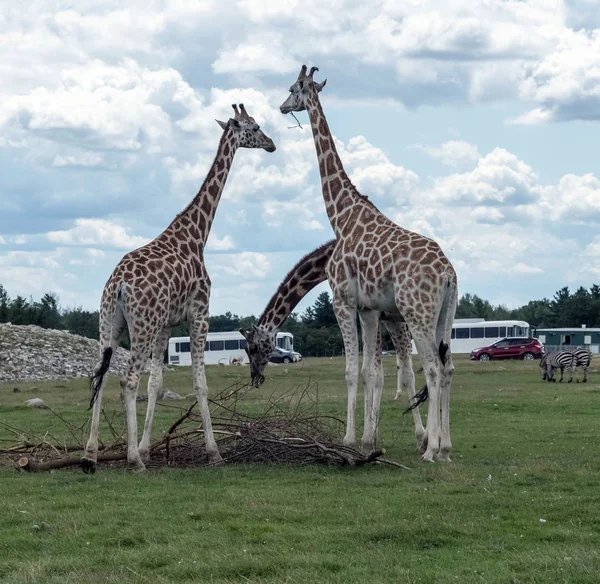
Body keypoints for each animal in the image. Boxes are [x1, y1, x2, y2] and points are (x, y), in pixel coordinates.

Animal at [81, 102, 276, 472]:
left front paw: (147, 448)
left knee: (99, 376)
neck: (197, 235)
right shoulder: (200, 314)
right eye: (255, 127)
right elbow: (199, 384)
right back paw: (131, 461)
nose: (272, 144)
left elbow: (157, 383)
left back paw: (89, 456)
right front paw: (213, 453)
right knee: (127, 381)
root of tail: (118, 285)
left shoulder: (166, 326)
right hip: (141, 326)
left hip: (108, 323)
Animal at [241, 237, 424, 442]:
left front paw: (365, 436)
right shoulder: (380, 316)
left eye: (253, 348)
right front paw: (371, 434)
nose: (255, 378)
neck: (327, 259)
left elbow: (376, 373)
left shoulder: (375, 313)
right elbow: (378, 375)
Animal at [278, 67, 458, 460]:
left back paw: (432, 449)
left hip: (417, 313)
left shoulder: (342, 301)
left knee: (433, 369)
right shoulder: (370, 309)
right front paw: (369, 441)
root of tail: (448, 274)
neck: (341, 214)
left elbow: (350, 371)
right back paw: (446, 447)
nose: (282, 107)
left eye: (292, 89)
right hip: (444, 315)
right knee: (448, 367)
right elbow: (371, 373)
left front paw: (348, 440)